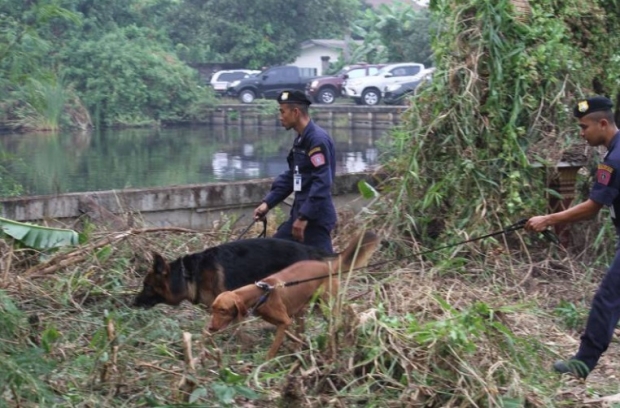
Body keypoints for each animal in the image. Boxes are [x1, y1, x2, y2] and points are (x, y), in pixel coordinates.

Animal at [208, 231, 378, 358]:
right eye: (213, 309)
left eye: (223, 310)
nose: (210, 328)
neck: (260, 293)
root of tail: (326, 266)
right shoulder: (285, 322)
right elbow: (292, 335)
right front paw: (299, 347)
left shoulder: (284, 322)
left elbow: (273, 348)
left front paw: (266, 363)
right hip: (306, 308)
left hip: (328, 303)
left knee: (342, 315)